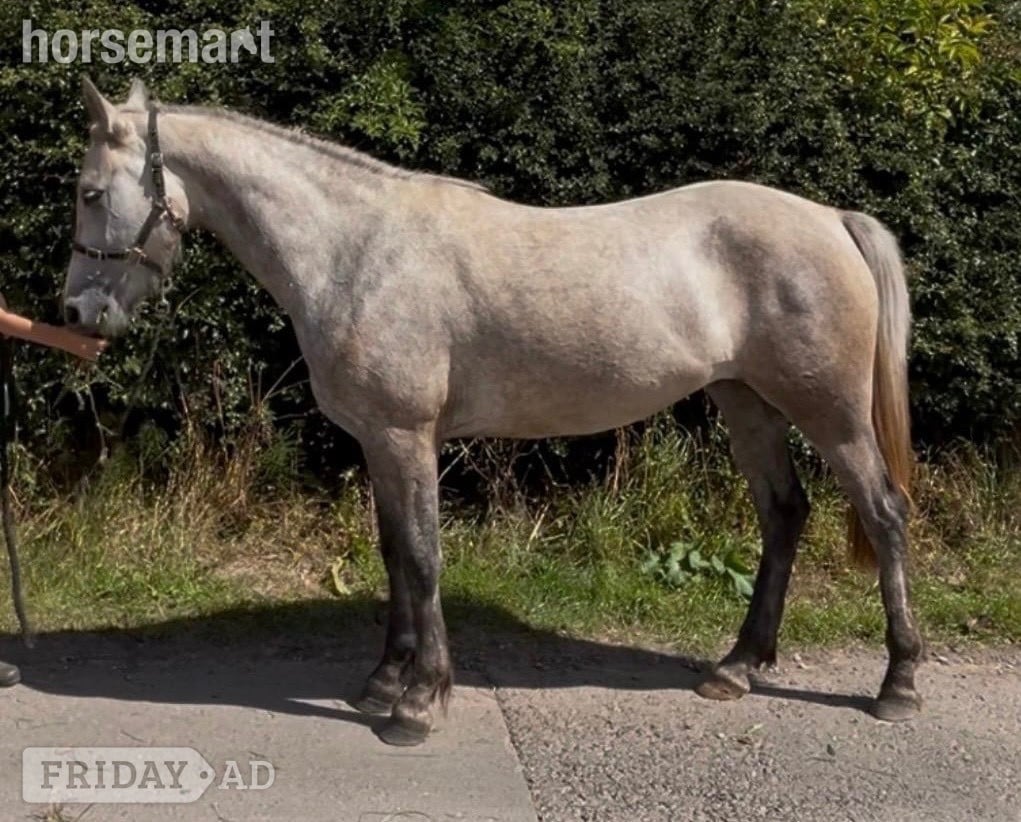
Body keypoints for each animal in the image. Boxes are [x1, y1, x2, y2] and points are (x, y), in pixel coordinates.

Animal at [62, 78, 923, 746]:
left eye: (89, 192)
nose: (77, 313)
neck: (356, 253)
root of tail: (830, 219)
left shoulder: (405, 436)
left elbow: (422, 557)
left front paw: (417, 704)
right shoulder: (381, 442)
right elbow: (394, 555)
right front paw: (384, 681)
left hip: (829, 411)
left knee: (882, 514)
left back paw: (898, 683)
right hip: (746, 404)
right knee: (783, 513)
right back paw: (737, 667)